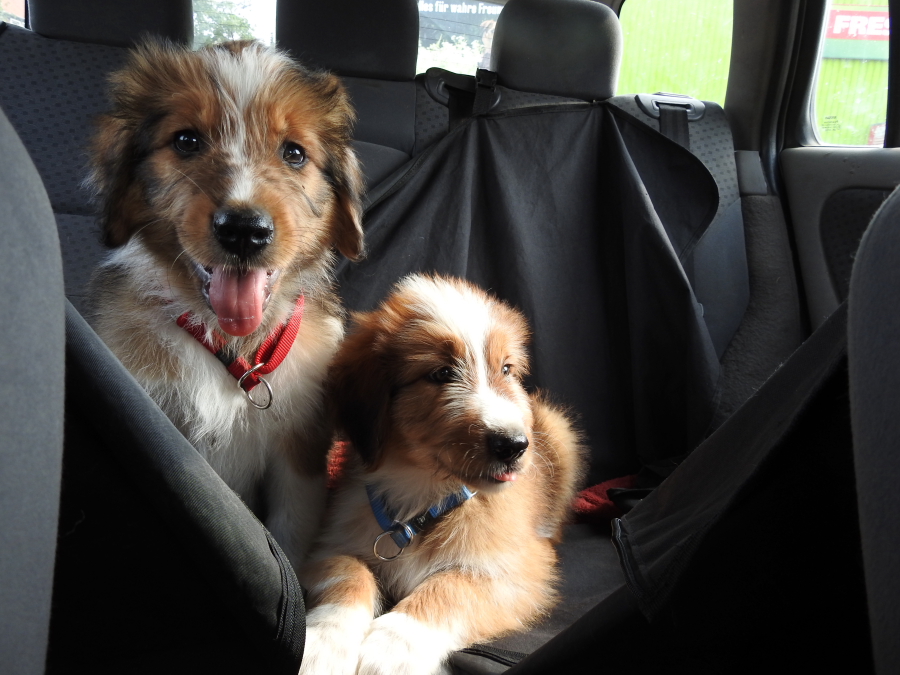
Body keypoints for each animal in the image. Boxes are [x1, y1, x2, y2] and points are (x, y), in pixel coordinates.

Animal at [85, 39, 364, 568]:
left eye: (294, 153)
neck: (233, 346)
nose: (244, 230)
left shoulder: (299, 453)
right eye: (186, 141)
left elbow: (291, 536)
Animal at [300, 275, 586, 675]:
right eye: (440, 373)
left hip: (559, 432)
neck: (425, 492)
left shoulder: (521, 571)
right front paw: (324, 642)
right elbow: (349, 571)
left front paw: (393, 647)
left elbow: (452, 586)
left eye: (506, 370)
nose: (514, 445)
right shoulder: (330, 543)